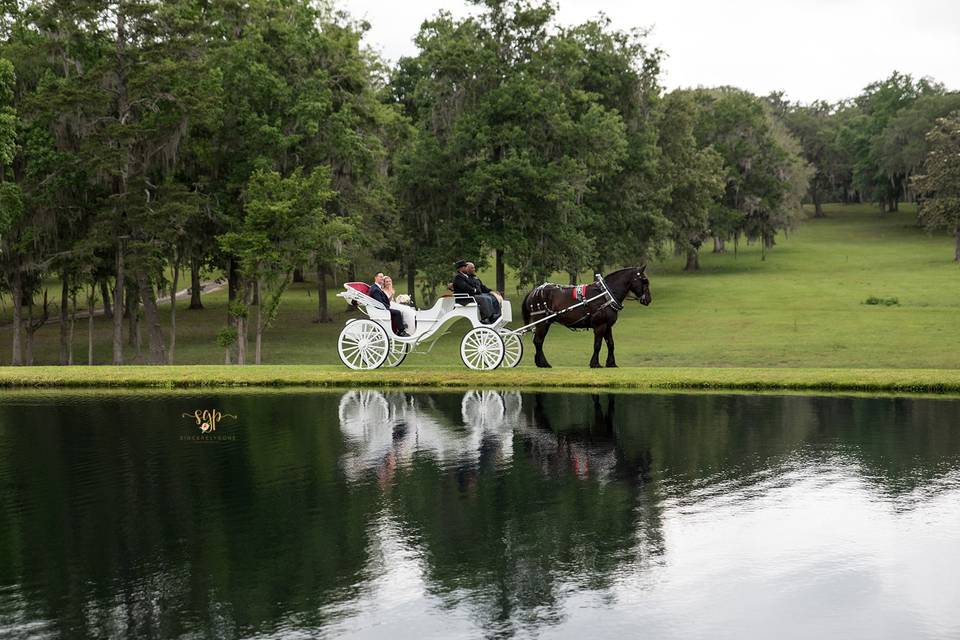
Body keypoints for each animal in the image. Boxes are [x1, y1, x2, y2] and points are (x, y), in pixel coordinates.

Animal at [516, 264, 652, 368]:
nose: (648, 300)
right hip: (542, 322)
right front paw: (595, 364)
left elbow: (611, 344)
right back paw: (543, 363)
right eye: (644, 280)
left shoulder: (607, 326)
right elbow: (597, 345)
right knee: (538, 341)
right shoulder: (600, 326)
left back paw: (540, 363)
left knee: (538, 341)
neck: (605, 295)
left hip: (545, 322)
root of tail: (533, 291)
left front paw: (611, 363)